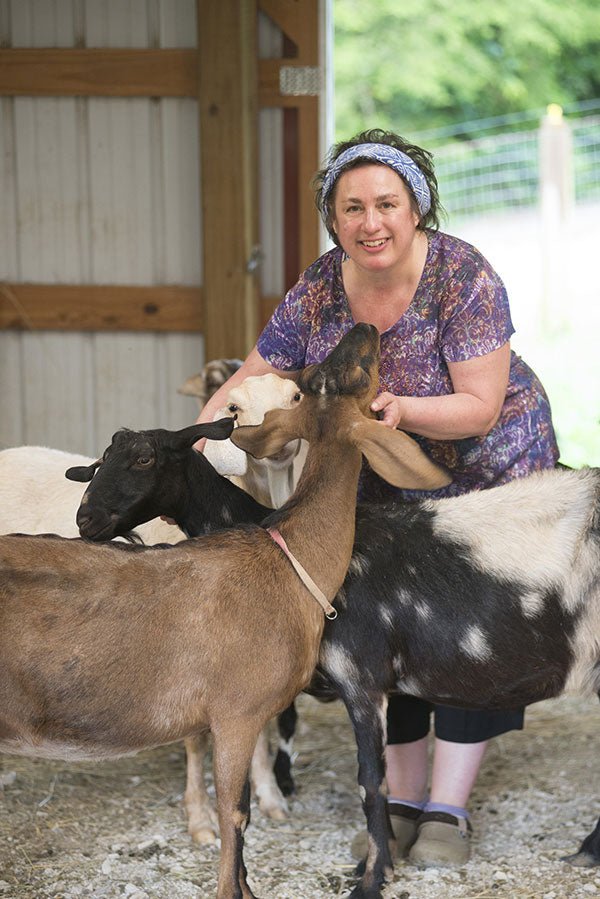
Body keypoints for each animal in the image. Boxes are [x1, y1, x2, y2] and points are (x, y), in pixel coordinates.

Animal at [0, 326, 450, 899]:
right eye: (350, 374)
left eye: (306, 388)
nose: (364, 330)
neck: (286, 550)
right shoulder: (235, 712)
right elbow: (234, 814)